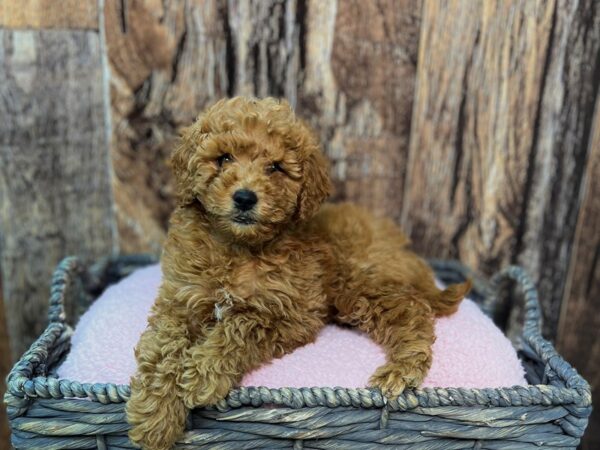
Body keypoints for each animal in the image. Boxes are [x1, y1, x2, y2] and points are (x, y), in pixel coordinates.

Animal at [126, 96, 472, 448]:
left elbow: (241, 326)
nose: (245, 197)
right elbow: (164, 348)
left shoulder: (294, 313)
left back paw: (402, 369)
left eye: (275, 167)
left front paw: (201, 373)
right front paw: (155, 418)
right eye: (224, 158)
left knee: (412, 312)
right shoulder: (180, 301)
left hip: (357, 284)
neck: (239, 247)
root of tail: (400, 245)